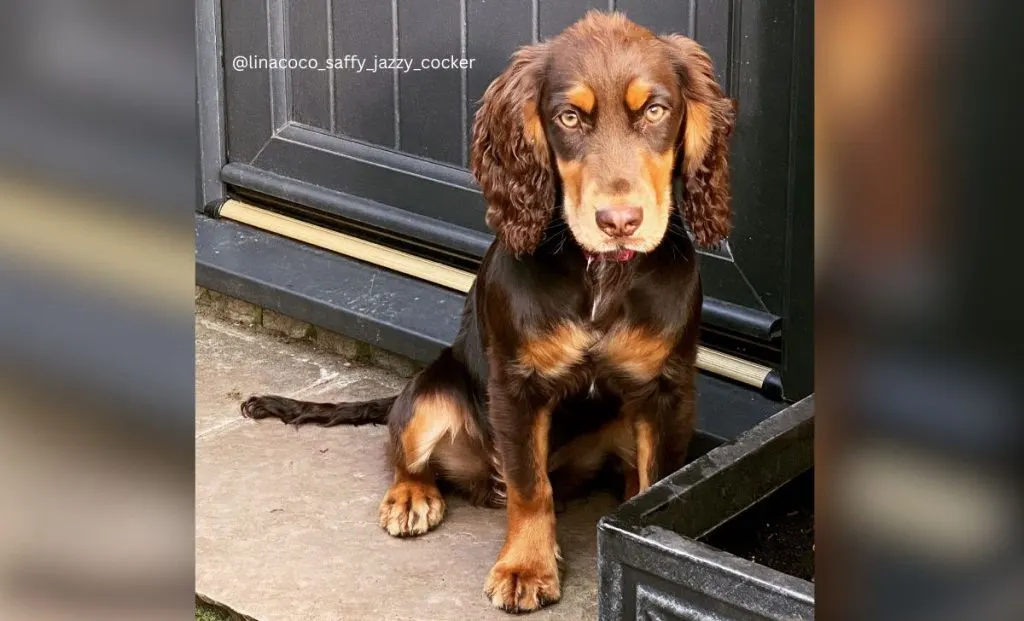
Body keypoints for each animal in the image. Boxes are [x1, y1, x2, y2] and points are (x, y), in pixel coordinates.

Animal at [242, 12, 733, 614]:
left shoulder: (665, 389)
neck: (600, 274)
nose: (619, 222)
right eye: (569, 116)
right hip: (430, 395)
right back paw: (410, 495)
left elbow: (650, 485)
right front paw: (526, 568)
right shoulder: (516, 386)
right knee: (404, 449)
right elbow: (528, 485)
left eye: (657, 111)